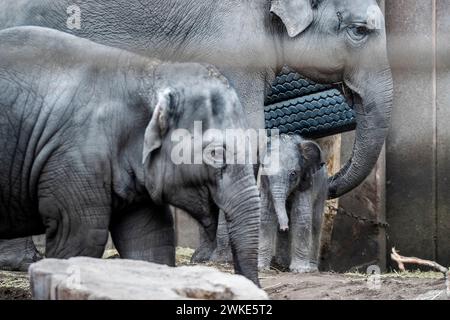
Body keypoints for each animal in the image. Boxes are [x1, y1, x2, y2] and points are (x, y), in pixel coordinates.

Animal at [258, 134, 328, 272]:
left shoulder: (306, 182)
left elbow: (301, 216)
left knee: (316, 223)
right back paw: (282, 264)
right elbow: (266, 216)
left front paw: (300, 270)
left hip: (322, 187)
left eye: (293, 174)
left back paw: (311, 268)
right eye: (266, 173)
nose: (284, 227)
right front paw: (261, 267)